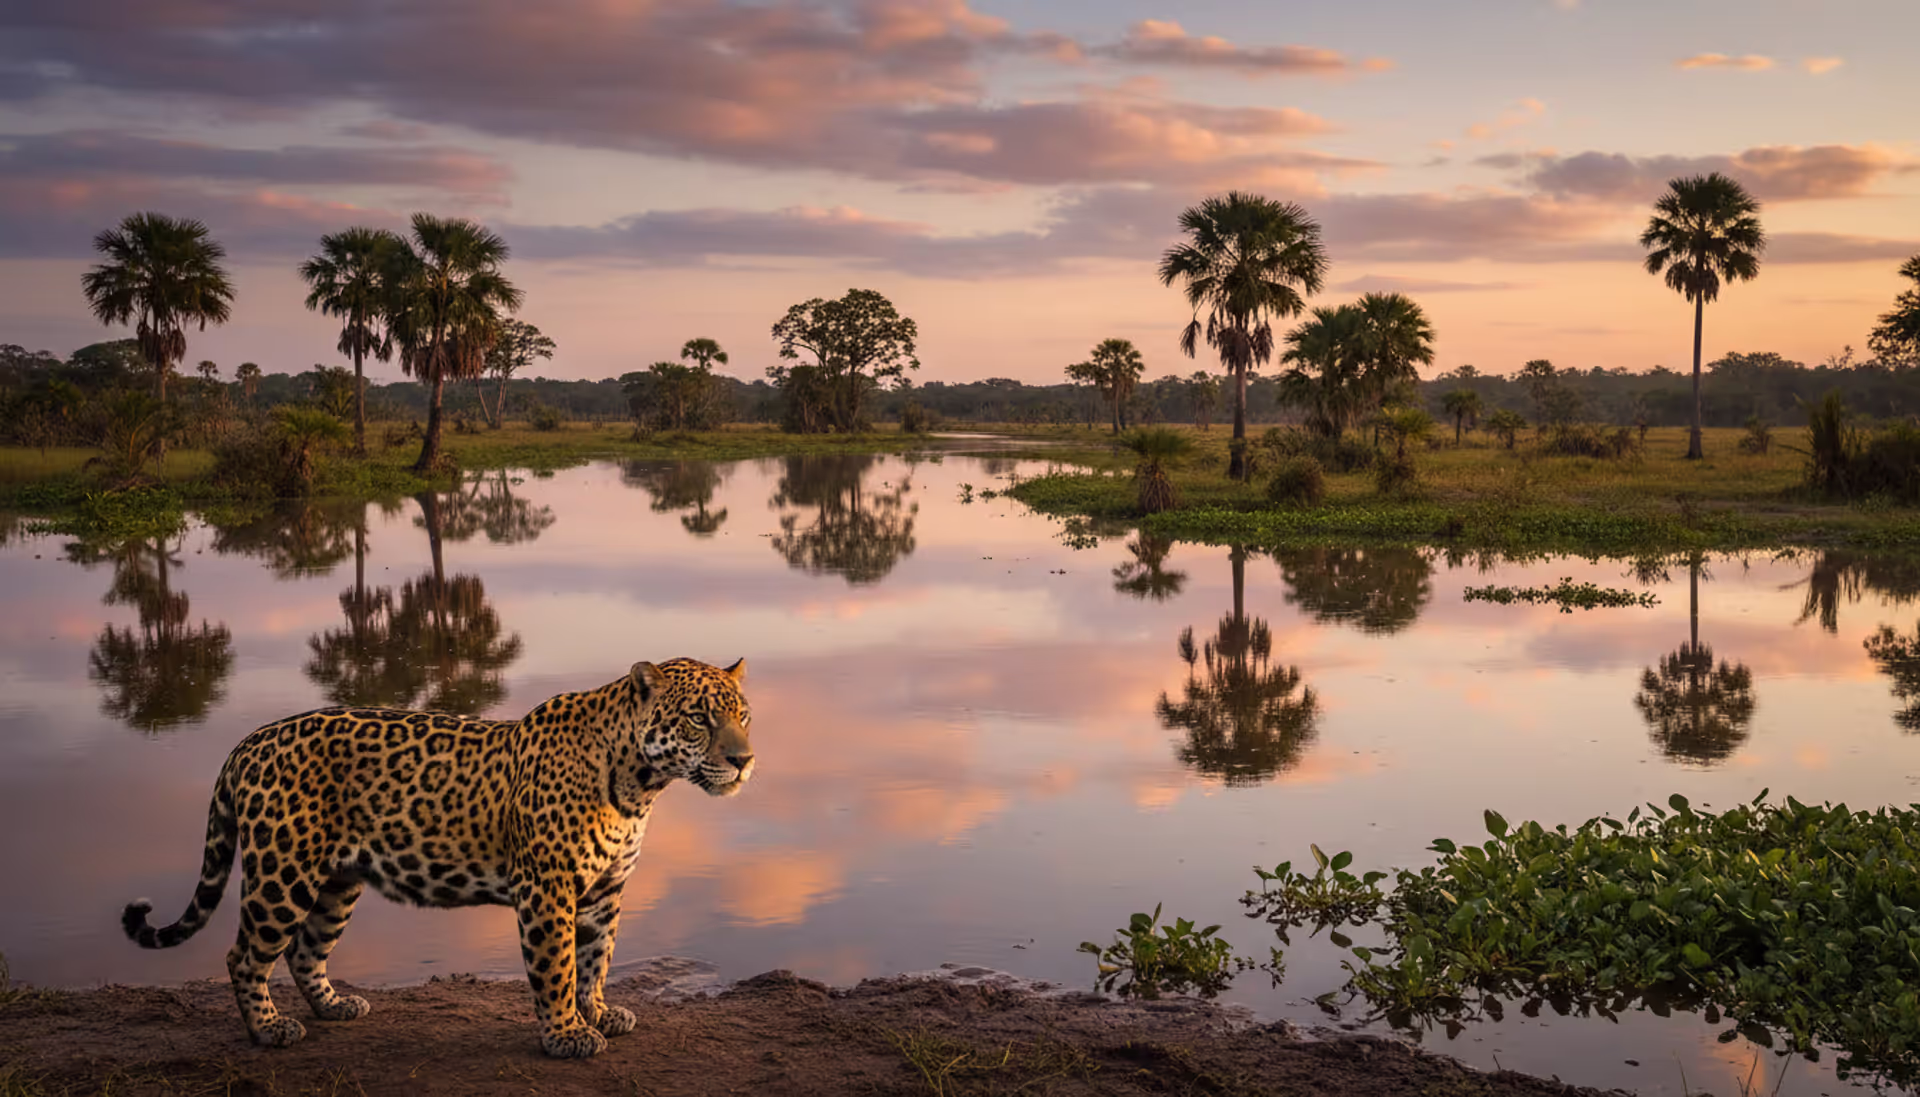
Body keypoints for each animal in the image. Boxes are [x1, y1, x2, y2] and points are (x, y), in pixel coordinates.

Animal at [122, 657, 754, 1059]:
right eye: (699, 717)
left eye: (743, 715)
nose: (745, 760)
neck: (639, 785)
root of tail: (246, 743)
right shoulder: (547, 890)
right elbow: (557, 965)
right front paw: (565, 1036)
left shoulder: (606, 890)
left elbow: (596, 958)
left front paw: (597, 1013)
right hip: (283, 874)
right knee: (245, 956)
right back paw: (269, 1030)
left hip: (338, 881)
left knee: (305, 951)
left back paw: (334, 1007)